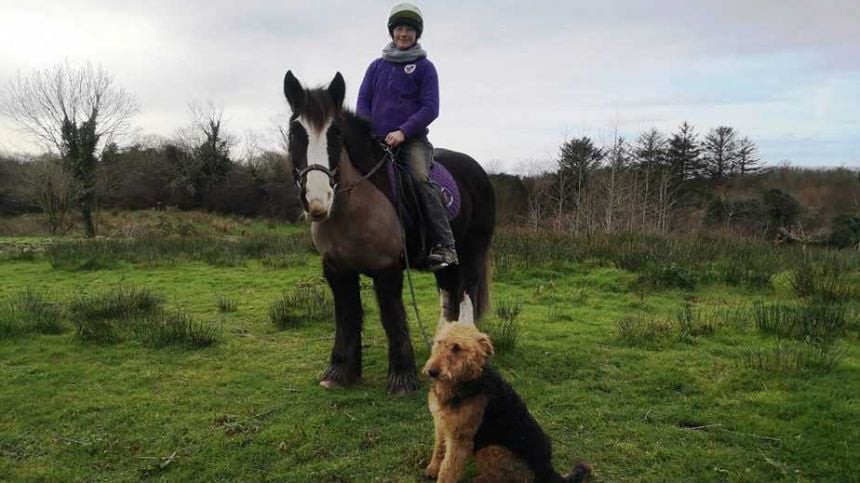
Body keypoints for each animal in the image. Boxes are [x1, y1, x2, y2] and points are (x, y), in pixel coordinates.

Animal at [284, 73, 494, 398]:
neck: (357, 202)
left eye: (336, 133)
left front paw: (402, 379)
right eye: (295, 131)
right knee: (449, 291)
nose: (317, 200)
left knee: (467, 294)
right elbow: (347, 316)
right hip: (446, 260)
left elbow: (392, 317)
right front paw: (340, 372)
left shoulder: (387, 269)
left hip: (473, 250)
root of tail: (478, 171)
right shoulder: (337, 270)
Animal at [422, 322, 592, 483]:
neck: (466, 380)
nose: (432, 371)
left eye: (457, 347)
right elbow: (439, 449)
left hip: (491, 449)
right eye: (439, 342)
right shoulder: (441, 423)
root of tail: (548, 470)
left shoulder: (460, 439)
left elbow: (448, 469)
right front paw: (432, 469)